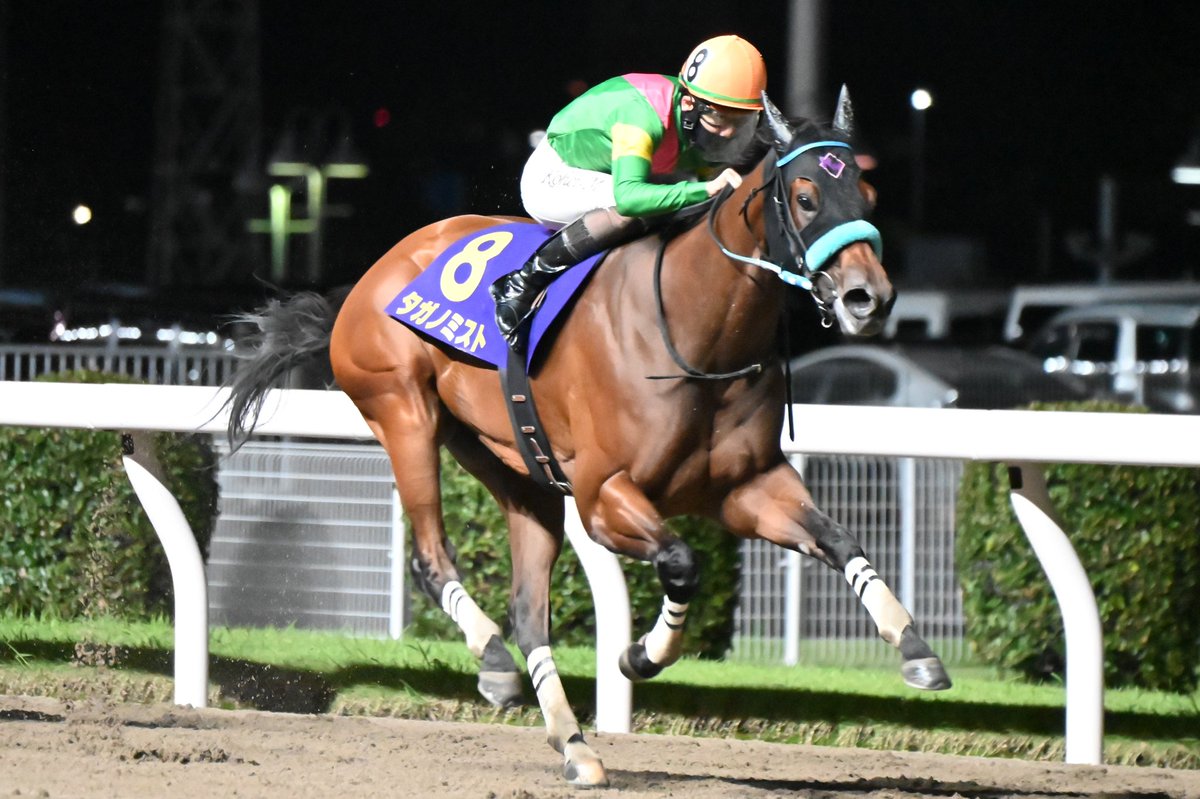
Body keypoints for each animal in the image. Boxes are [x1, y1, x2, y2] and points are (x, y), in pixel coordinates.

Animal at [226, 90, 950, 787]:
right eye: (805, 197)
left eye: (868, 195)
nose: (868, 298)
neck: (695, 330)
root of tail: (366, 280)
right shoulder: (604, 496)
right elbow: (682, 562)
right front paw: (641, 654)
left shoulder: (746, 487)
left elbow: (840, 539)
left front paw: (917, 651)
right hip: (404, 411)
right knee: (431, 558)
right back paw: (494, 662)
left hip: (512, 465)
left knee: (528, 611)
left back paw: (575, 746)